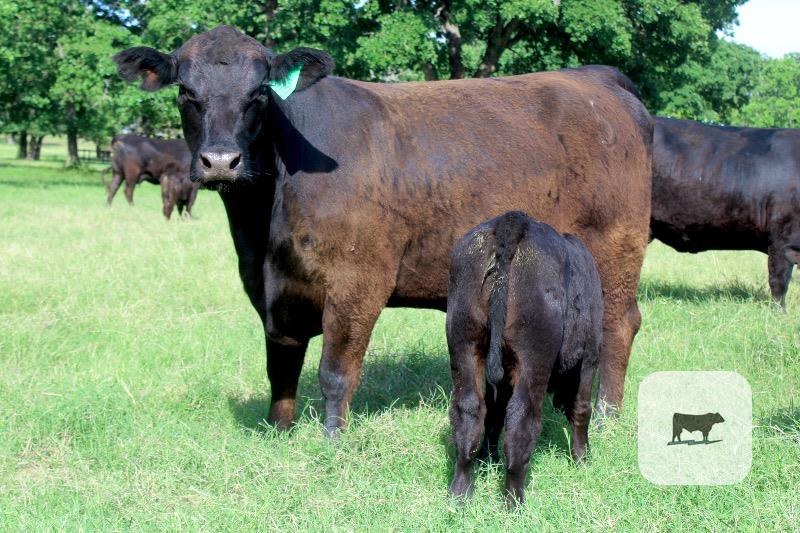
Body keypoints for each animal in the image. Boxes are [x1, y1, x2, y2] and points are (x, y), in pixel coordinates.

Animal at [113, 25, 652, 436]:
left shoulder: (358, 279)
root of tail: (597, 77)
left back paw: (607, 415)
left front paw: (332, 443)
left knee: (619, 324)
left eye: (259, 93)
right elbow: (281, 368)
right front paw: (278, 434)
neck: (263, 228)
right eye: (186, 92)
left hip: (616, 249)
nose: (221, 161)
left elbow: (334, 372)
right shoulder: (271, 288)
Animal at [447, 211, 603, 505]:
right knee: (522, 417)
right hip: (534, 353)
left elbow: (494, 411)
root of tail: (512, 221)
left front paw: (488, 458)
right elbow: (581, 407)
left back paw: (460, 493)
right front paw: (582, 458)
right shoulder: (591, 354)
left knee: (469, 409)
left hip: (463, 340)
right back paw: (514, 500)